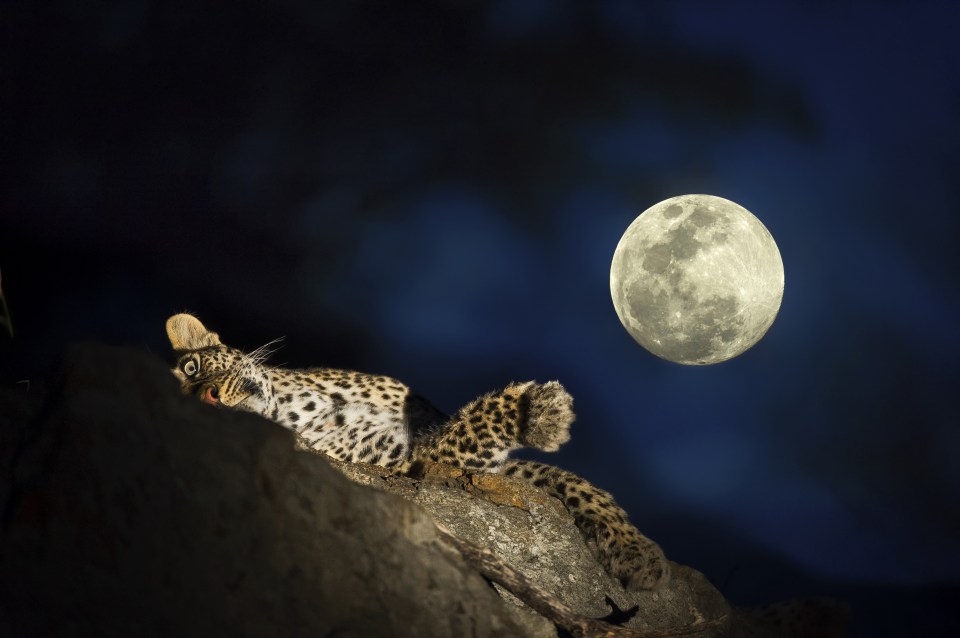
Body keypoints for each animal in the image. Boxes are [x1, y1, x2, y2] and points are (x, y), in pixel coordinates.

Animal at [165, 312, 672, 592]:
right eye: (186, 384)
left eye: (194, 366)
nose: (208, 398)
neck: (292, 405)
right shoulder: (414, 460)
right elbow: (474, 427)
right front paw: (535, 409)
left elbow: (580, 486)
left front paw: (637, 553)